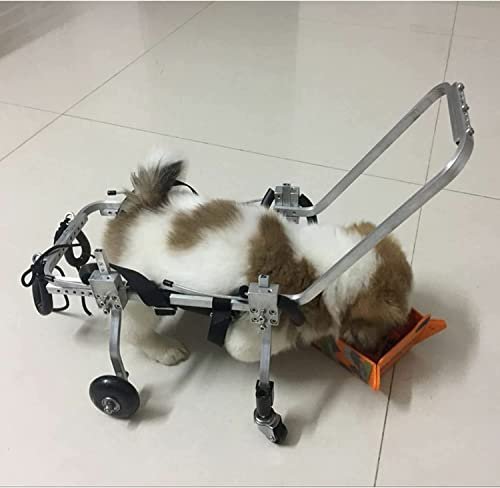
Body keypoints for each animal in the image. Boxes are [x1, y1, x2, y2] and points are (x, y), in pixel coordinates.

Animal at [103, 150, 413, 365]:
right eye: (387, 327)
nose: (378, 347)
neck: (326, 270)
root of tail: (138, 207)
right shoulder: (259, 324)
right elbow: (247, 347)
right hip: (137, 298)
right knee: (133, 333)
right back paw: (165, 349)